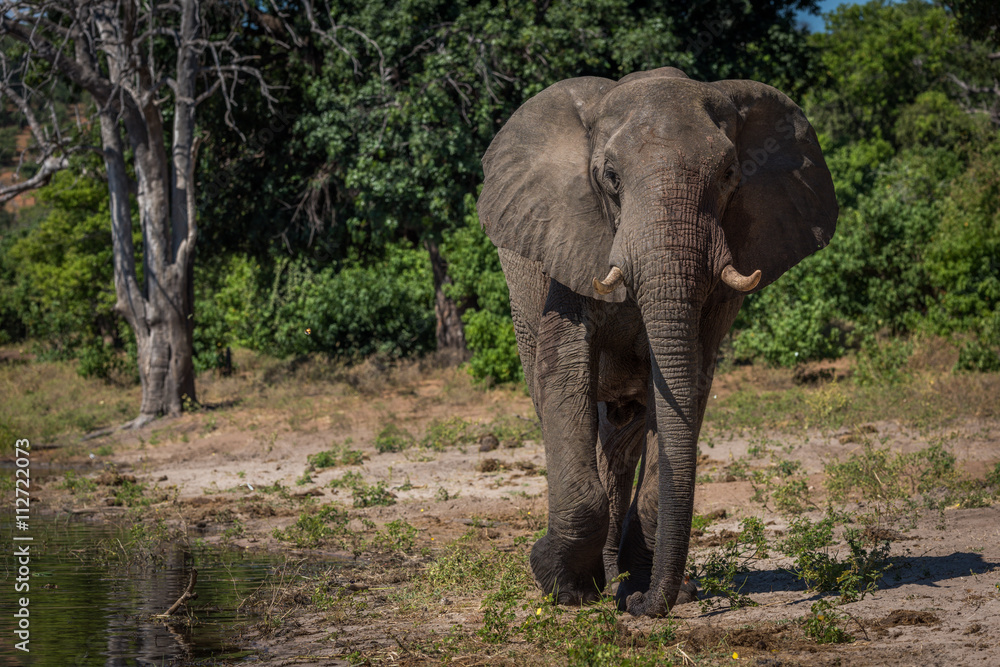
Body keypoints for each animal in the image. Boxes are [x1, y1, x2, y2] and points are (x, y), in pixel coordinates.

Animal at [476, 67, 838, 617]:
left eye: (730, 174)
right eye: (611, 178)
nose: (647, 604)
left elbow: (687, 384)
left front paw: (638, 590)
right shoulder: (569, 245)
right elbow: (563, 372)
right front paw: (562, 585)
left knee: (621, 437)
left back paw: (622, 579)